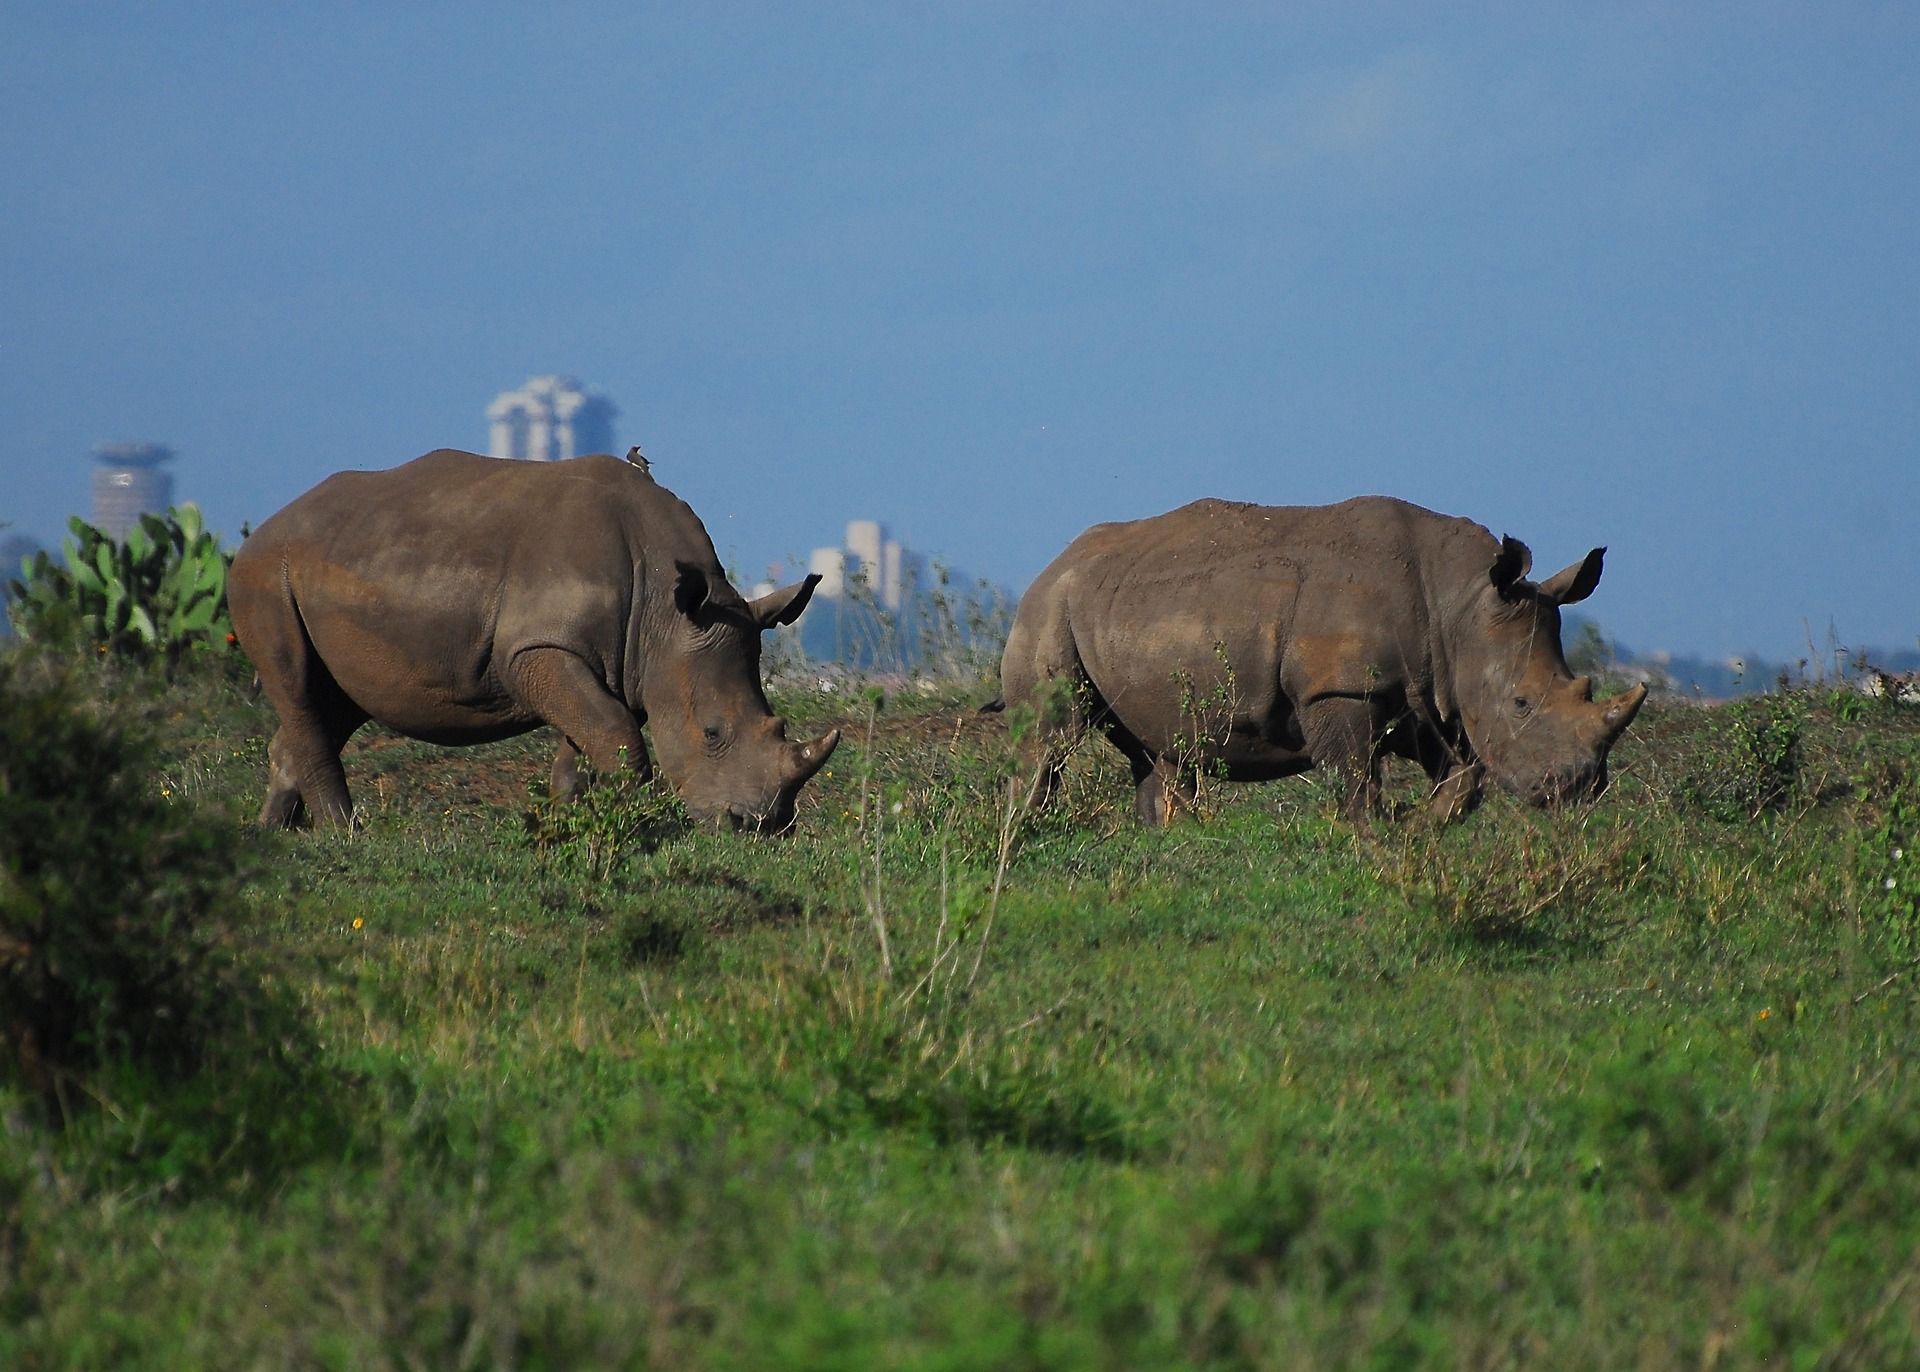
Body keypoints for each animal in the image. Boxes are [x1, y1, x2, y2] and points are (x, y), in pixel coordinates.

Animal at [228, 456, 837, 832]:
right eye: (711, 734)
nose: (761, 827)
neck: (666, 613)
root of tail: (262, 529)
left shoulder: (616, 660)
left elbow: (590, 737)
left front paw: (575, 819)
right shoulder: (539, 648)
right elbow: (614, 732)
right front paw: (633, 820)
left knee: (334, 701)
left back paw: (274, 834)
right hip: (266, 573)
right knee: (297, 685)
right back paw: (345, 834)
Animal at [998, 495, 1643, 825]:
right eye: (1521, 702)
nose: (1580, 790)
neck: (1458, 602)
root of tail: (1057, 560)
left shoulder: (1434, 694)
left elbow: (1462, 780)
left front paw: (1419, 827)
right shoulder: (1341, 688)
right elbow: (1354, 781)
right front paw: (1374, 838)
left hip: (1124, 604)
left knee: (1156, 750)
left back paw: (1170, 843)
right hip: (1050, 605)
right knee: (1052, 734)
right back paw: (1026, 835)